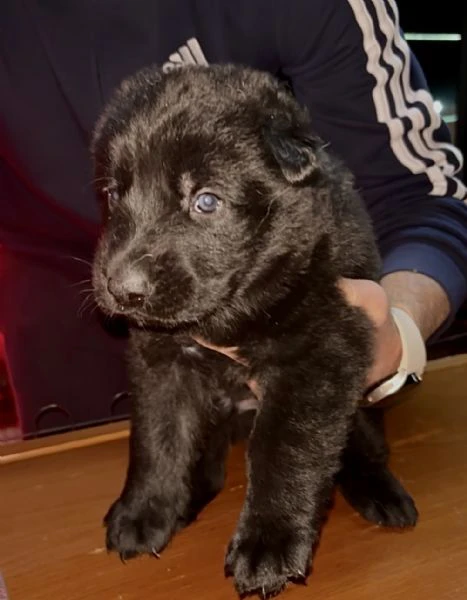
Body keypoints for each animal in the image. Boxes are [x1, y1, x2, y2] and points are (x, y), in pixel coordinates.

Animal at [91, 63, 416, 596]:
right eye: (115, 194)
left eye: (206, 201)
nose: (121, 288)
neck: (235, 308)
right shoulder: (160, 362)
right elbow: (157, 438)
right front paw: (143, 513)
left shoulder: (319, 352)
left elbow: (282, 449)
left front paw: (269, 545)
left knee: (365, 445)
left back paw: (381, 492)